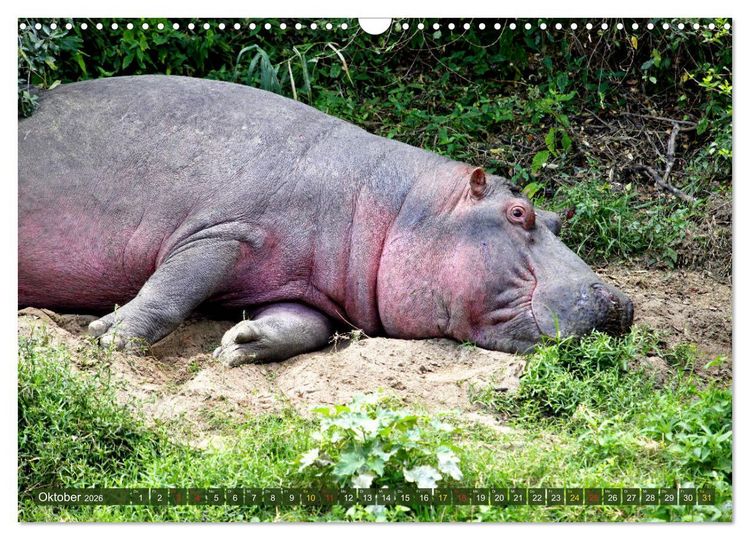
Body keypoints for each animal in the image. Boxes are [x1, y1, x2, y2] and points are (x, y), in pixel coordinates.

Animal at [18, 75, 633, 365]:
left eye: (556, 218)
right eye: (518, 212)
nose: (621, 301)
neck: (393, 206)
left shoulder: (302, 286)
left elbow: (301, 326)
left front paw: (239, 343)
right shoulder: (224, 232)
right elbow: (172, 287)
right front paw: (111, 337)